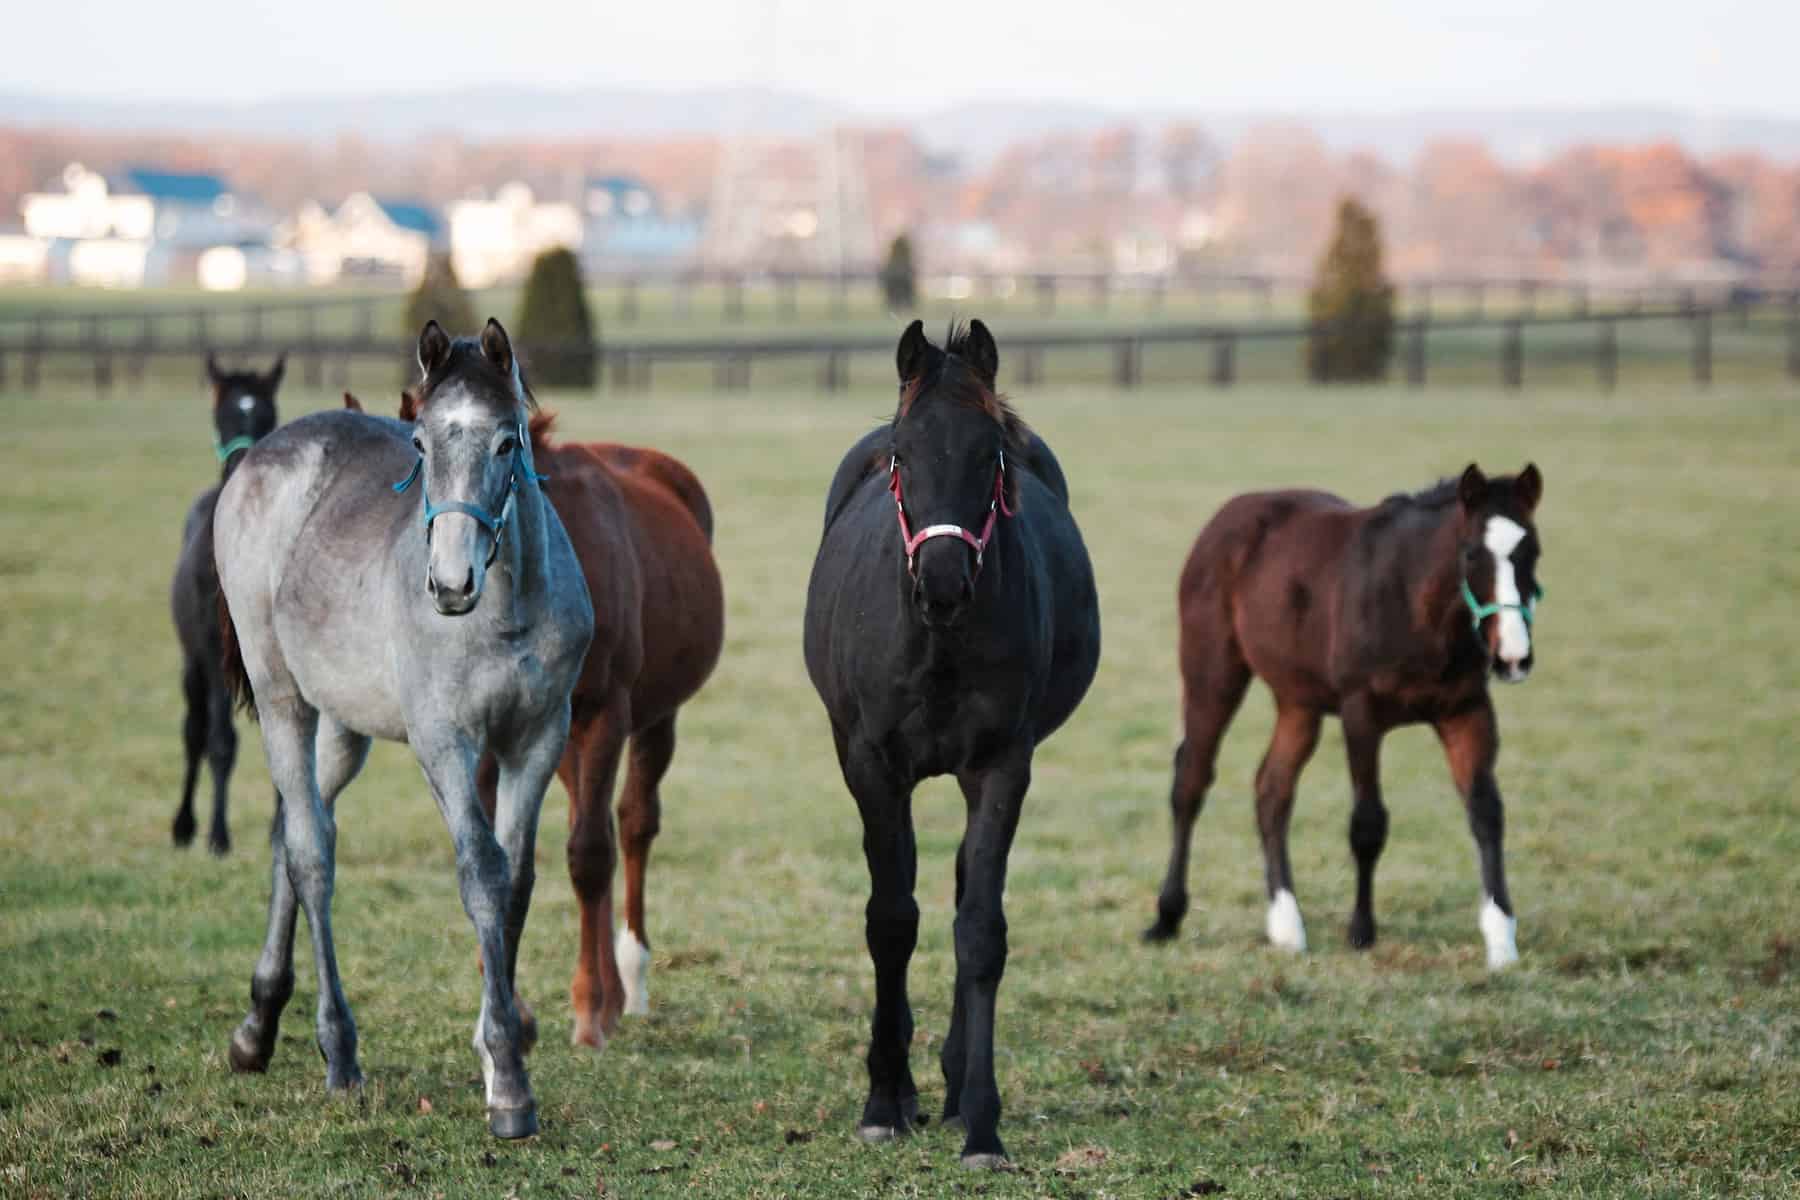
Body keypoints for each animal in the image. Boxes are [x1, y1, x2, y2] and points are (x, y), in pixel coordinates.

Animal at [215, 320, 593, 1138]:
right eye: (420, 443)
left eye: (508, 442)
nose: (449, 585)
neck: (504, 616)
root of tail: (261, 458)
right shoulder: (444, 742)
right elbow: (480, 874)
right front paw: (509, 1084)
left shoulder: (538, 739)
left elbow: (516, 882)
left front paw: (497, 1051)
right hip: (283, 698)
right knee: (313, 855)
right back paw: (339, 1052)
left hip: (343, 727)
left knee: (294, 833)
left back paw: (258, 1027)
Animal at [384, 387, 724, 1048]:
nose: (444, 584)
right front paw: (503, 1002)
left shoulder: (603, 713)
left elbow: (590, 854)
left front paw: (590, 1010)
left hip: (653, 718)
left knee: (631, 825)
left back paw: (627, 981)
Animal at [803, 320, 1101, 1168]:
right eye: (903, 454)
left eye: (989, 454)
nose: (941, 581)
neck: (938, 641)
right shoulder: (872, 765)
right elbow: (890, 919)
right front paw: (881, 1100)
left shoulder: (1002, 765)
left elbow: (980, 929)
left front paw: (982, 1121)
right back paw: (906, 1085)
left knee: (968, 885)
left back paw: (950, 1077)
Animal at [1143, 463, 1545, 970]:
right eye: (1472, 553)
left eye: (1533, 550)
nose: (1513, 658)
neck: (1414, 603)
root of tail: (1229, 516)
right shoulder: (1361, 713)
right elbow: (1368, 824)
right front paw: (1361, 932)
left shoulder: (1467, 711)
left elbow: (1487, 812)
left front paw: (1501, 939)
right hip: (1213, 673)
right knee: (1191, 780)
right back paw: (1167, 917)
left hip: (1299, 702)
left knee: (1272, 788)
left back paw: (1286, 926)